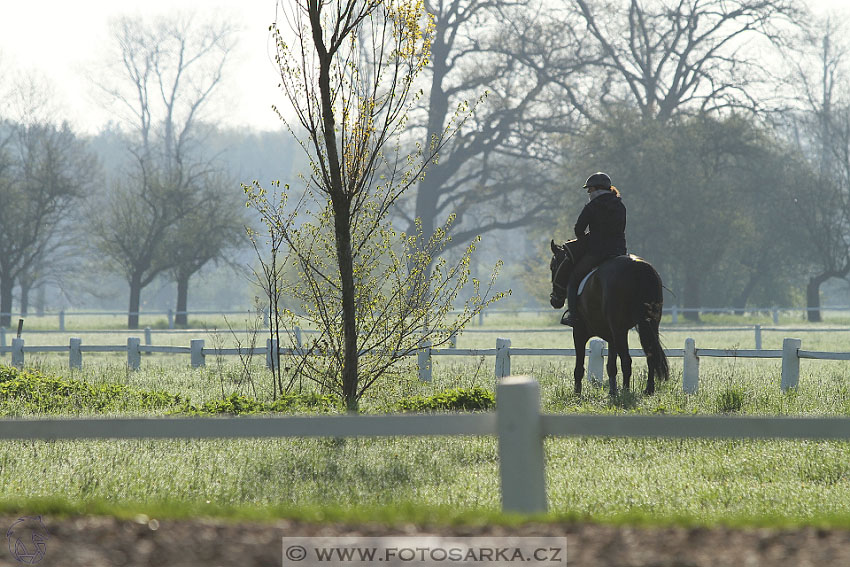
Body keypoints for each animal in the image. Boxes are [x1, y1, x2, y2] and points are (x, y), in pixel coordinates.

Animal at [548, 240, 668, 394]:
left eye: (553, 266)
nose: (554, 300)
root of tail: (638, 268)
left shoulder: (579, 332)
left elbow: (579, 367)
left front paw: (577, 393)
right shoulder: (611, 336)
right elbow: (611, 366)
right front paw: (612, 392)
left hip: (620, 330)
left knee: (627, 360)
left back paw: (626, 392)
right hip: (649, 326)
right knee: (650, 354)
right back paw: (648, 389)